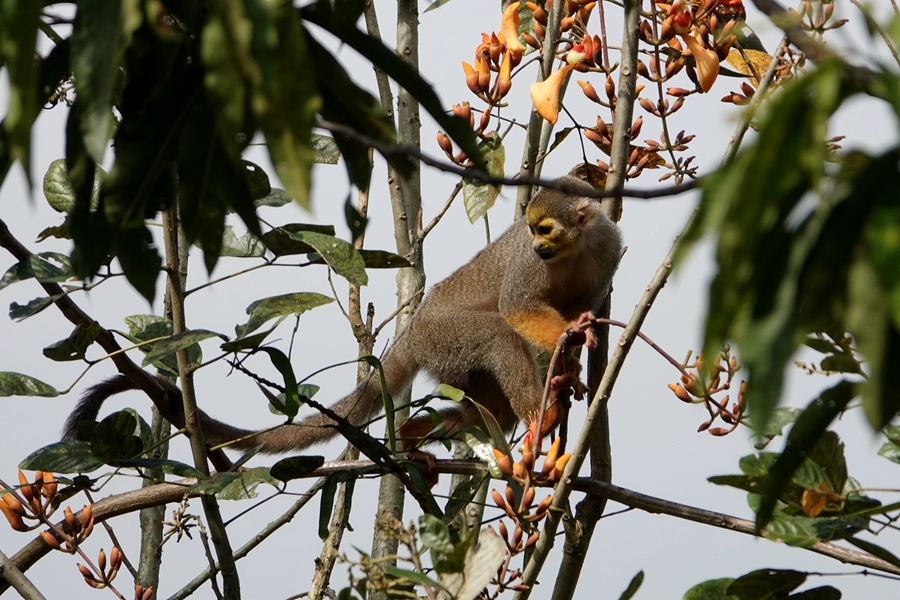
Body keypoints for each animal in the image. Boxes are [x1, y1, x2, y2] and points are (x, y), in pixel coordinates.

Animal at [63, 177, 624, 454]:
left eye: (546, 228)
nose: (539, 246)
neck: (576, 246)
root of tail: (410, 333)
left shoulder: (610, 248)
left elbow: (582, 302)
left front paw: (572, 358)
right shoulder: (529, 265)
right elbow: (516, 307)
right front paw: (568, 339)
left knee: (487, 404)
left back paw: (439, 428)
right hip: (442, 339)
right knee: (495, 338)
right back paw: (534, 414)